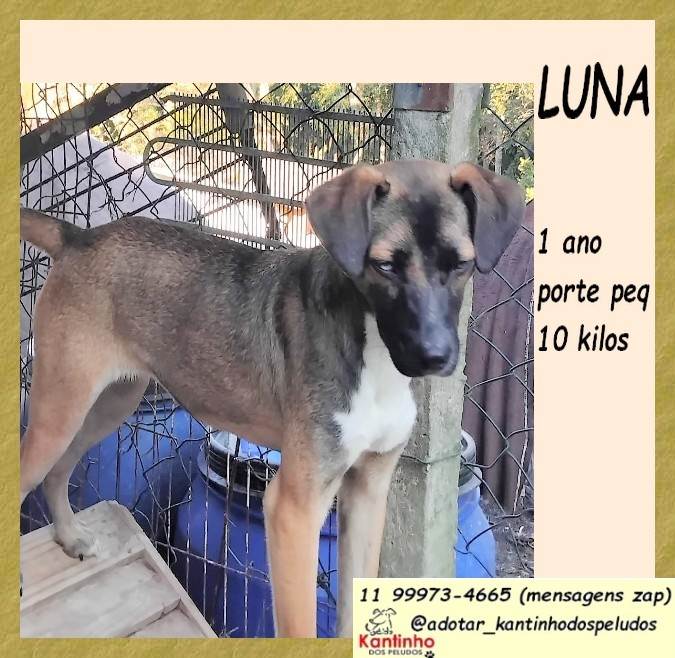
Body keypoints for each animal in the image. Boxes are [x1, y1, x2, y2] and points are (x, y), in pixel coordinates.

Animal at [19, 159, 524, 638]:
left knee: (56, 471)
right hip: (60, 407)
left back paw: (69, 537)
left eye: (460, 264)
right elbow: (299, 628)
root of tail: (79, 237)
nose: (434, 356)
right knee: (28, 473)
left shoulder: (368, 492)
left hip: (110, 402)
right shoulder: (293, 509)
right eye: (384, 265)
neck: (369, 348)